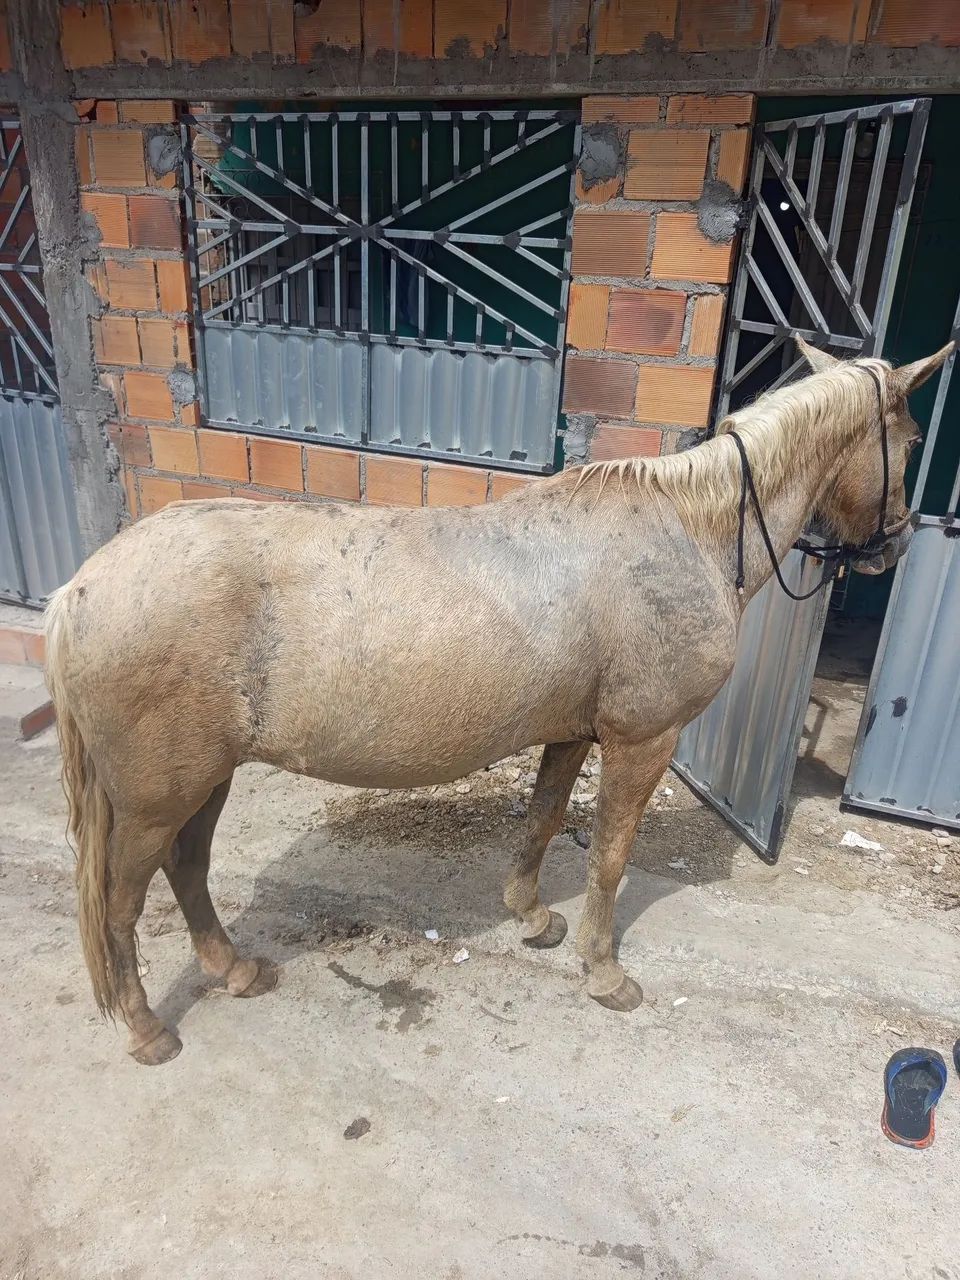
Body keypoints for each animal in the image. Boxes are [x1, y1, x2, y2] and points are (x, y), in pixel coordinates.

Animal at [45, 337, 952, 1064]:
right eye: (910, 438)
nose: (898, 541)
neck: (688, 531)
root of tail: (79, 590)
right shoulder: (643, 738)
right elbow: (610, 856)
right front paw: (603, 971)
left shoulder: (575, 731)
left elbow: (544, 820)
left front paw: (531, 918)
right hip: (157, 793)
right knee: (122, 901)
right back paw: (146, 1028)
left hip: (204, 777)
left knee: (187, 869)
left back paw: (233, 970)